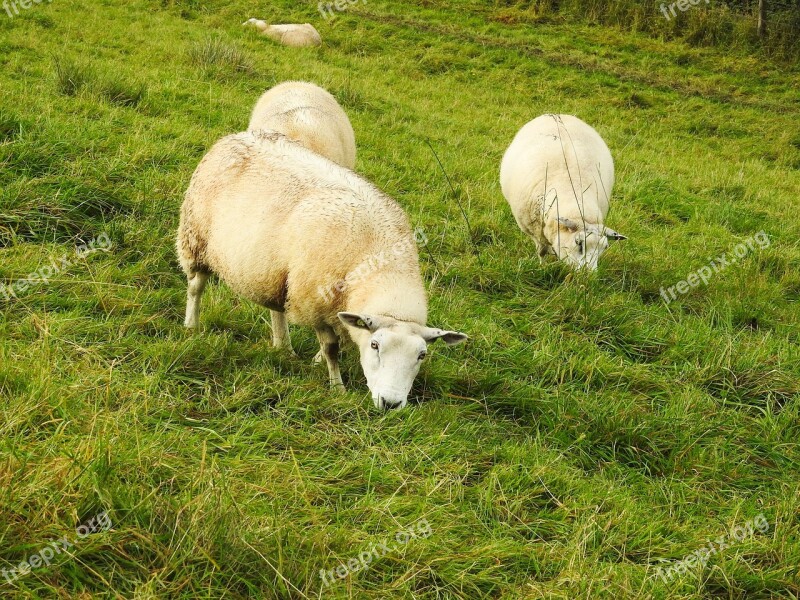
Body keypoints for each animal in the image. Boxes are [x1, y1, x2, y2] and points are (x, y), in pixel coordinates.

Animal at [178, 130, 466, 412]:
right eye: (375, 345)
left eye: (422, 355)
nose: (390, 404)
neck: (382, 267)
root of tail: (234, 136)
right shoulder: (315, 301)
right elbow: (331, 348)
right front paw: (337, 386)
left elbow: (342, 338)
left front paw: (316, 362)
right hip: (196, 239)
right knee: (195, 287)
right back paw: (192, 326)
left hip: (277, 271)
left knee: (276, 307)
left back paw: (283, 347)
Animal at [500, 113, 624, 272]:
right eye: (579, 243)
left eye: (605, 248)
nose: (589, 274)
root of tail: (558, 114)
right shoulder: (536, 231)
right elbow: (542, 251)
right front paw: (542, 266)